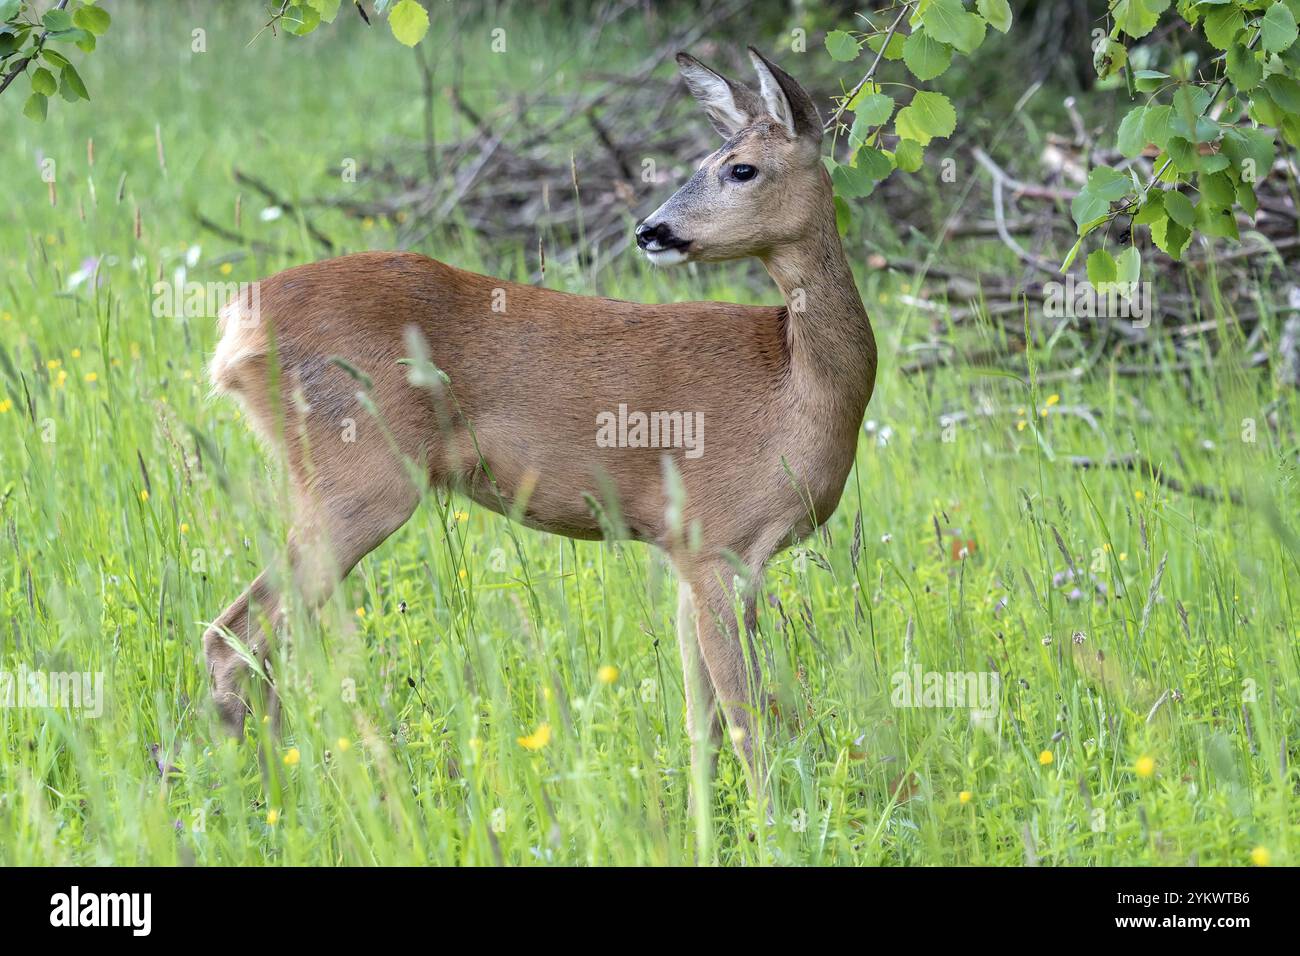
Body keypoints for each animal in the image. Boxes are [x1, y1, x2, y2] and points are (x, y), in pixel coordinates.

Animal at [205, 47, 876, 808]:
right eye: (717, 161)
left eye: (740, 167)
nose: (650, 231)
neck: (797, 388)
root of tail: (238, 323)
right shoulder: (718, 542)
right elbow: (745, 722)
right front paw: (775, 823)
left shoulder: (689, 556)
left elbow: (699, 723)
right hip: (362, 480)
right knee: (235, 637)